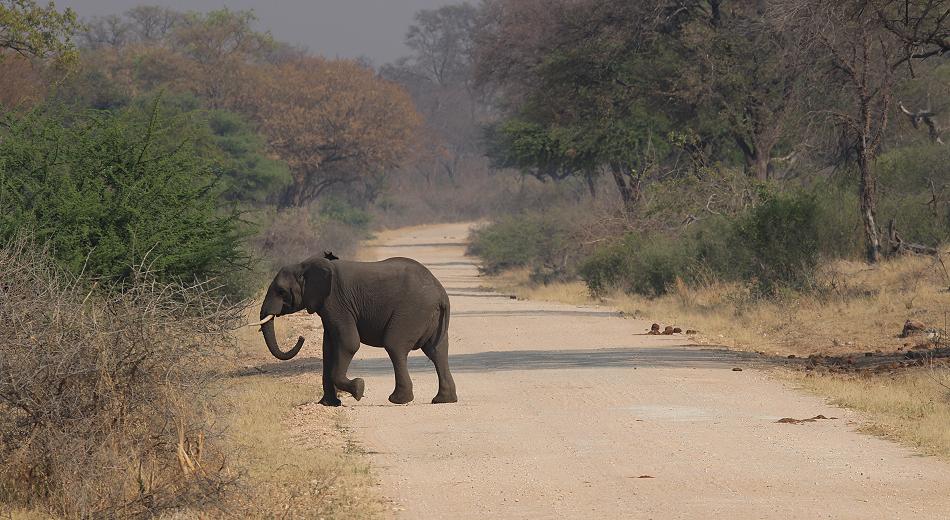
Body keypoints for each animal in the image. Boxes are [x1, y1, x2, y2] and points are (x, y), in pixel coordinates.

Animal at [256, 255, 458, 406]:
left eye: (281, 292)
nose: (301, 337)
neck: (305, 266)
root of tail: (441, 294)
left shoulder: (336, 302)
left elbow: (348, 343)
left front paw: (359, 389)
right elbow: (328, 348)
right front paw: (328, 404)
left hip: (412, 311)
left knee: (395, 346)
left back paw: (398, 400)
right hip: (429, 316)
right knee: (437, 351)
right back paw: (443, 400)